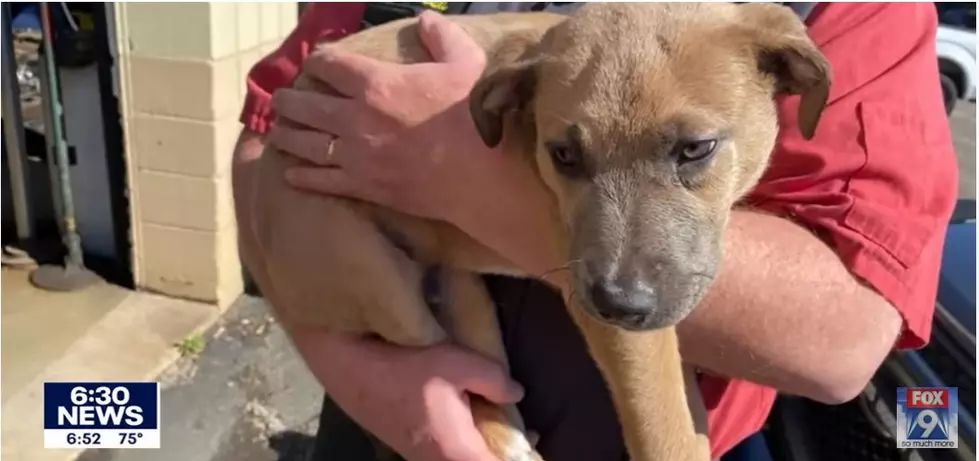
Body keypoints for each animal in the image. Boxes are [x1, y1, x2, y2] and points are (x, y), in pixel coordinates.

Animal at [241, 3, 832, 460]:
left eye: (696, 149)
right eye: (563, 155)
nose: (618, 302)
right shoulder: (615, 322)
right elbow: (666, 430)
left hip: (462, 288)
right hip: (374, 277)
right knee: (433, 363)